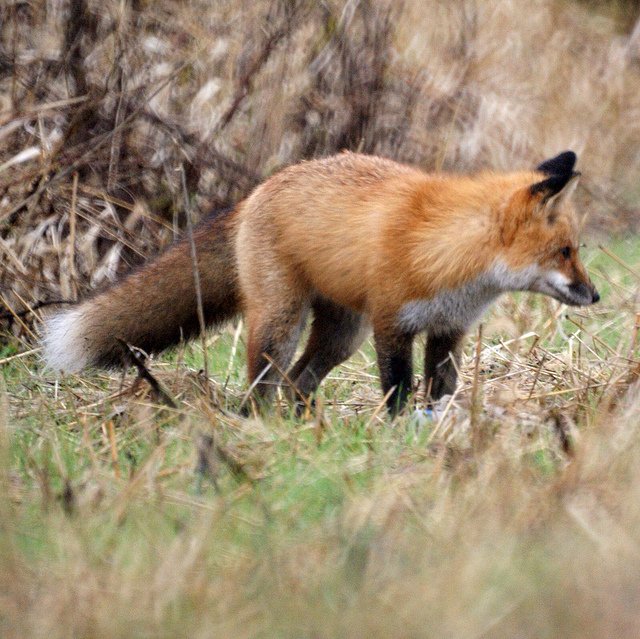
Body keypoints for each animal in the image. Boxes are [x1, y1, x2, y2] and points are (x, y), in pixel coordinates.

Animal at [43, 151, 600, 416]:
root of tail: (257, 191)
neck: (450, 252)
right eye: (565, 252)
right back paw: (257, 427)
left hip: (341, 335)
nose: (596, 295)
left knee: (298, 383)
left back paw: (305, 427)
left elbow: (441, 391)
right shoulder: (391, 325)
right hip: (284, 322)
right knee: (264, 385)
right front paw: (397, 436)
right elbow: (398, 391)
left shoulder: (448, 332)